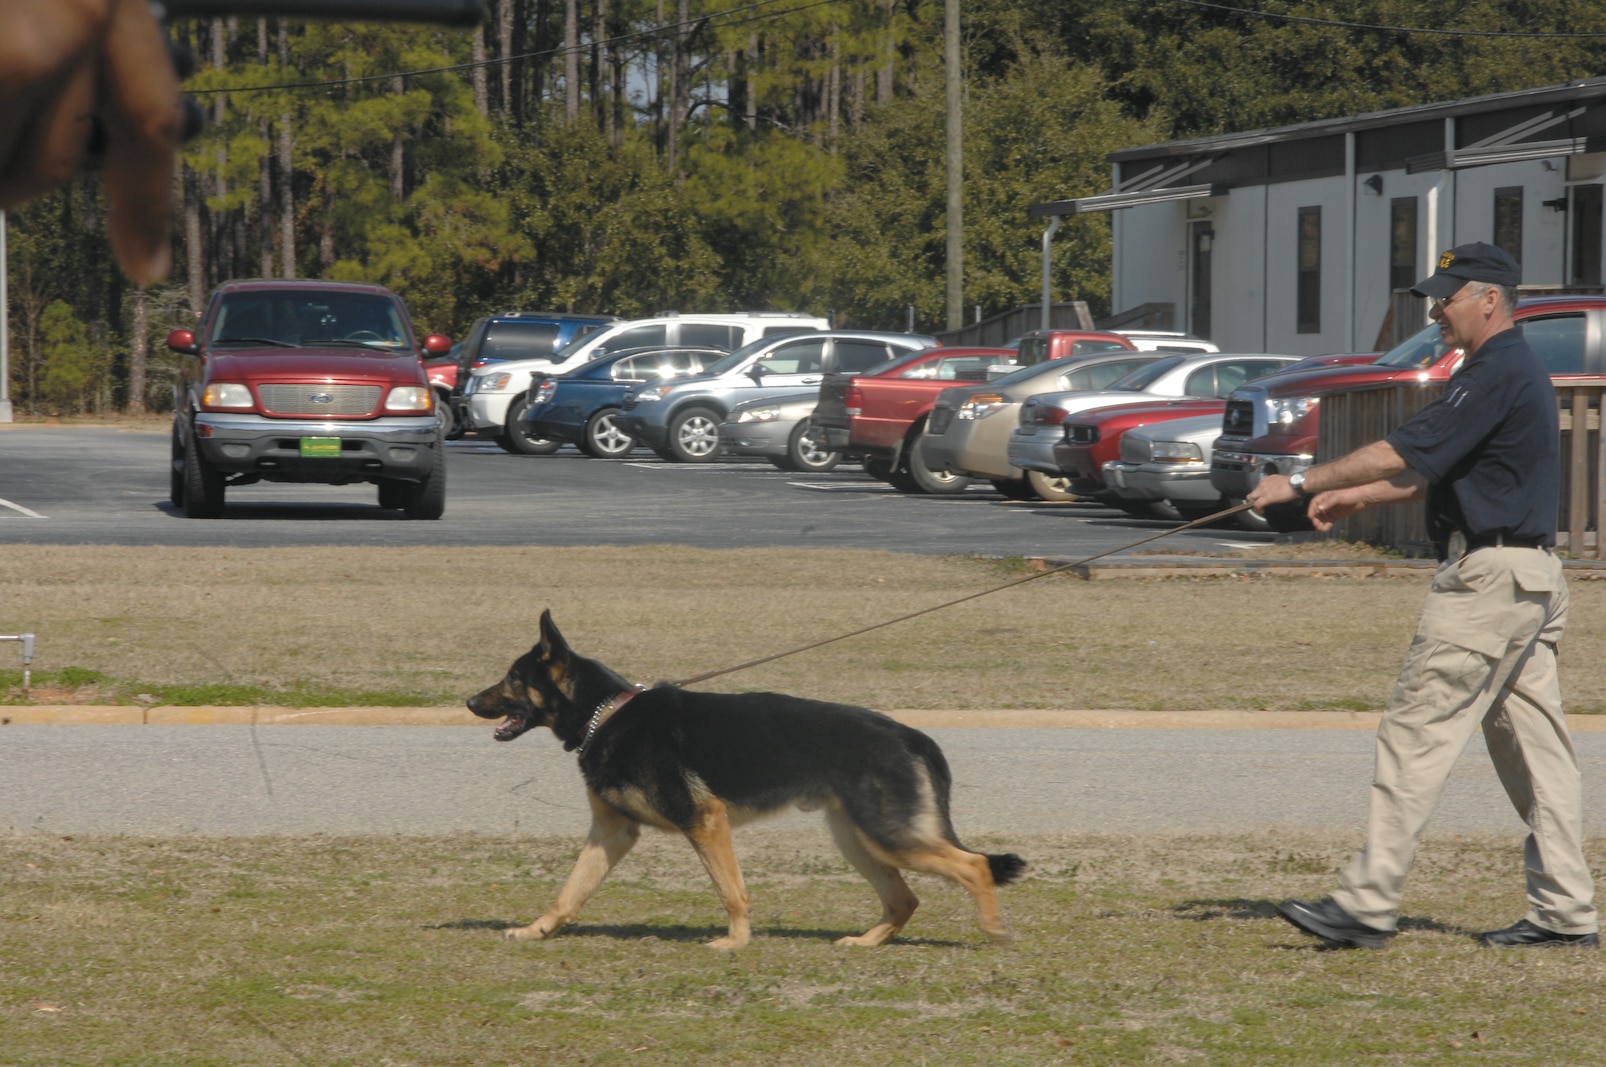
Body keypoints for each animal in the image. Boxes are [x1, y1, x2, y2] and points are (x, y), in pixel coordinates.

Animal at [465, 613, 1021, 944]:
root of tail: (909, 734)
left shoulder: (705, 822)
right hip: (859, 841)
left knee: (974, 866)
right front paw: (536, 929)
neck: (608, 712)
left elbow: (731, 890)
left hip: (890, 836)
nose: (469, 701)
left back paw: (994, 931)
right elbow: (570, 891)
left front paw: (734, 942)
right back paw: (866, 942)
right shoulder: (612, 832)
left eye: (513, 679)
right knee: (906, 898)